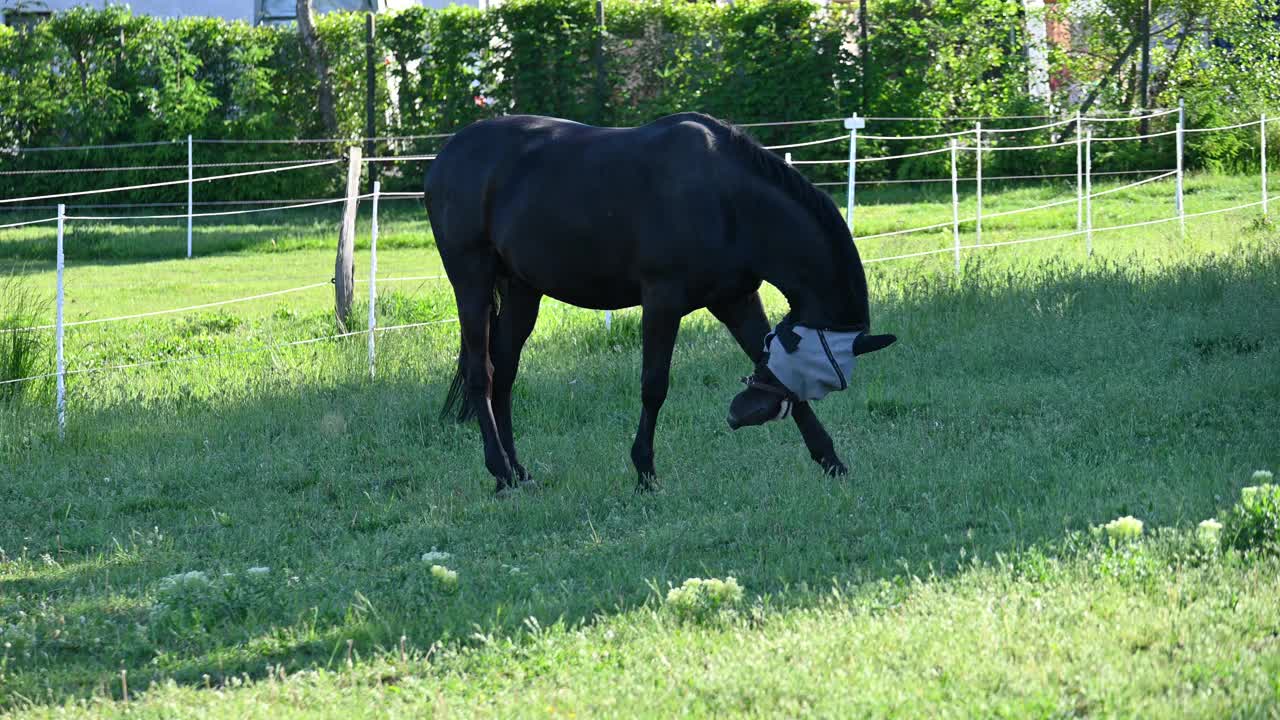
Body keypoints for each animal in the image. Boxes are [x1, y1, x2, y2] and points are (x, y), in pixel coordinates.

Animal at [424, 112, 896, 491]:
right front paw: (645, 473)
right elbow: (654, 386)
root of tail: (448, 153)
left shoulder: (737, 299)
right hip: (471, 280)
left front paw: (831, 461)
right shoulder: (662, 301)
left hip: (523, 289)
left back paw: (518, 471)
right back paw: (500, 472)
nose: (743, 413)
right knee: (482, 373)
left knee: (504, 373)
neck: (728, 199)